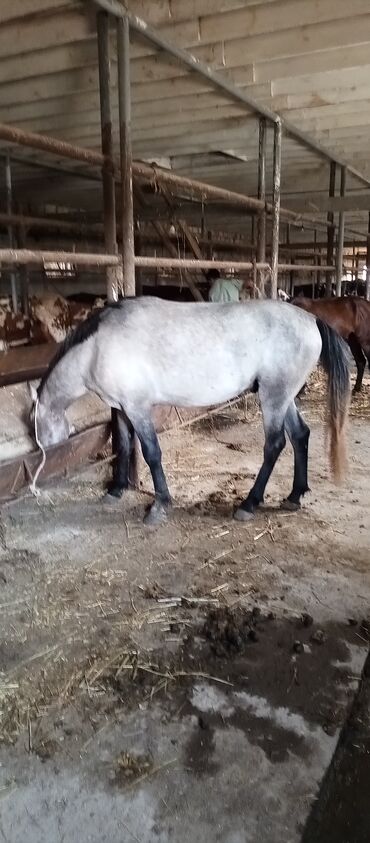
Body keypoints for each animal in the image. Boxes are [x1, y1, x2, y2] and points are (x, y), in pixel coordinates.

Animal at [29, 296, 350, 520]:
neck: (97, 347)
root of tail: (311, 319)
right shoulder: (120, 408)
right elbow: (122, 445)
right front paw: (116, 490)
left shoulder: (138, 408)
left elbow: (151, 453)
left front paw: (160, 505)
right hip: (285, 397)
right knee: (299, 436)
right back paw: (294, 496)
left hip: (274, 396)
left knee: (275, 444)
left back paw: (249, 504)